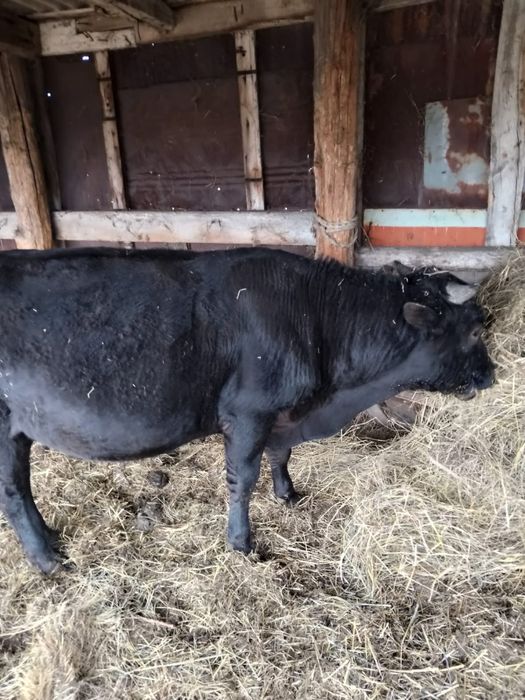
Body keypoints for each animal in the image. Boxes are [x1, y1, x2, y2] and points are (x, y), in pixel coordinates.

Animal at [0, 246, 494, 573]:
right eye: (475, 331)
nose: (492, 374)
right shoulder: (247, 413)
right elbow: (242, 479)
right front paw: (241, 543)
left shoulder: (281, 416)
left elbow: (281, 454)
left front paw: (287, 494)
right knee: (14, 493)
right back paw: (47, 560)